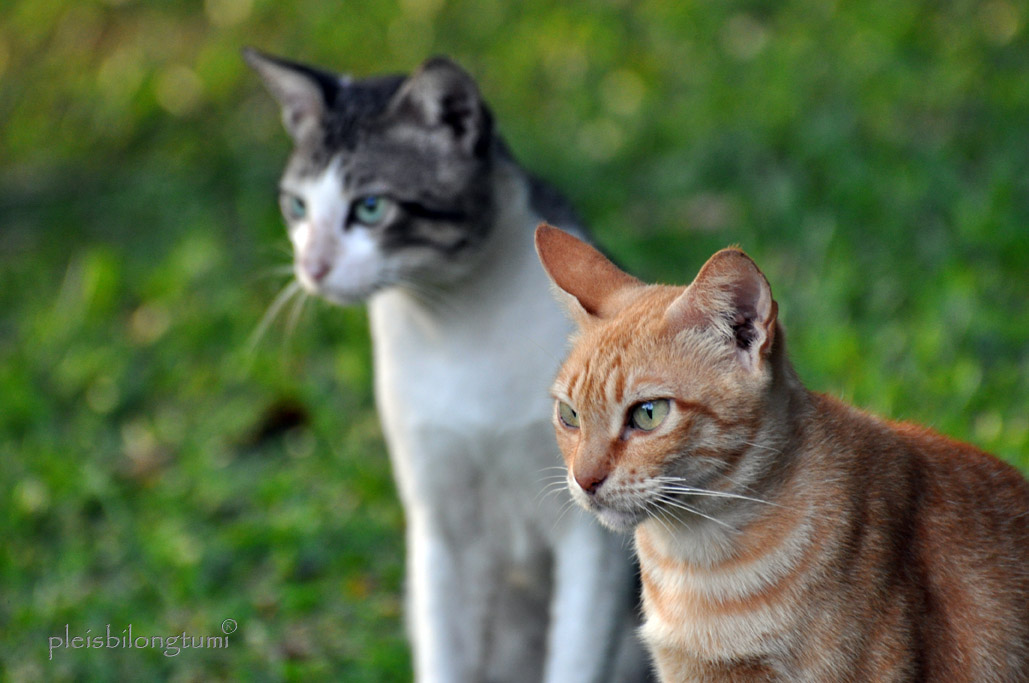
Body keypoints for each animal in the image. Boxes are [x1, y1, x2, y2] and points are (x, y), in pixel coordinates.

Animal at [244, 49, 646, 682]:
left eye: (371, 208)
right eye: (297, 206)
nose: (311, 268)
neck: (456, 326)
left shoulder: (591, 531)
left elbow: (576, 654)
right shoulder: (439, 519)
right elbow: (443, 652)